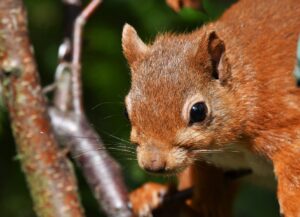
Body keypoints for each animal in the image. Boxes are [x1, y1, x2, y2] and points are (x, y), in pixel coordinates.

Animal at [121, 0, 300, 216]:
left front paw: (293, 206)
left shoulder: (282, 118)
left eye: (198, 111)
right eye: (127, 112)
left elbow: (293, 171)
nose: (153, 164)